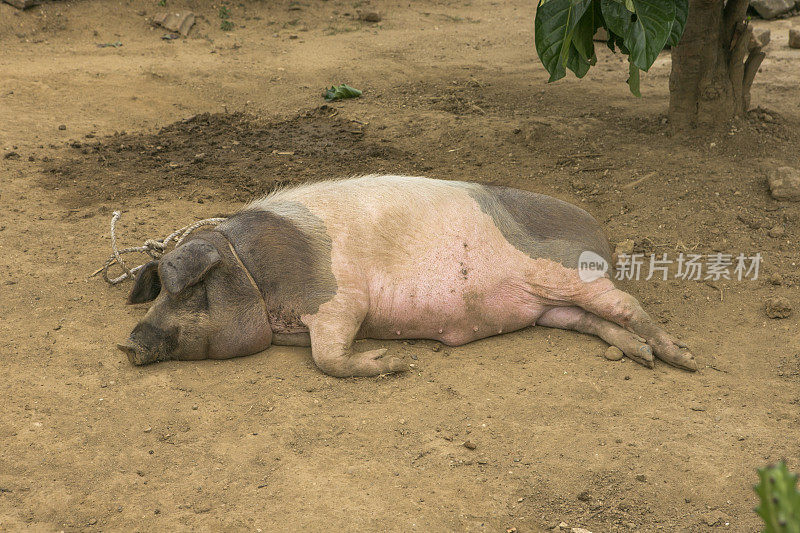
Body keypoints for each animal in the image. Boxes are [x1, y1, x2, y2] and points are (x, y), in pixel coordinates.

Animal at [115, 175, 696, 374]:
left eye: (190, 290)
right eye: (158, 292)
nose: (127, 344)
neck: (255, 272)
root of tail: (600, 234)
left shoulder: (338, 300)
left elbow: (327, 358)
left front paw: (394, 363)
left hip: (566, 275)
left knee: (627, 306)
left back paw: (683, 359)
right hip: (554, 310)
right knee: (598, 322)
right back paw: (643, 357)